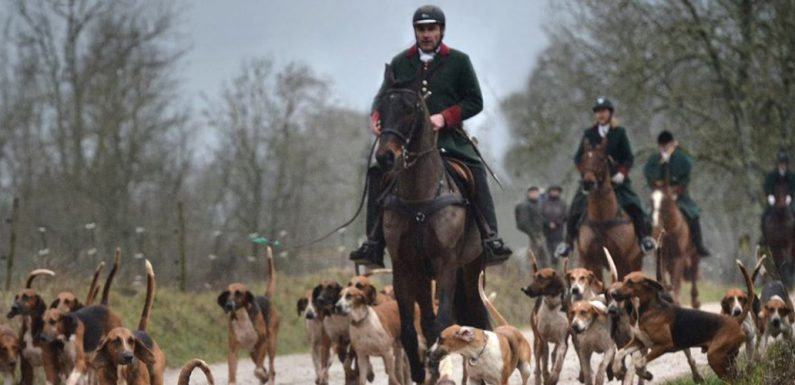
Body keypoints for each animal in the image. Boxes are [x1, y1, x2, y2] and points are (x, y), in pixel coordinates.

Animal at [376, 71, 488, 380]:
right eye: (381, 107)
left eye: (409, 108)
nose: (385, 157)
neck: (419, 198)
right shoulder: (404, 267)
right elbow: (409, 328)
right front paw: (419, 370)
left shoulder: (446, 264)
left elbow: (442, 323)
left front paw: (436, 365)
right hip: (422, 276)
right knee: (425, 318)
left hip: (470, 269)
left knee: (476, 314)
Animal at [580, 140, 648, 278]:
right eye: (583, 158)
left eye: (601, 159)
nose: (588, 183)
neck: (602, 220)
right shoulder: (591, 262)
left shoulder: (620, 261)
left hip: (634, 262)